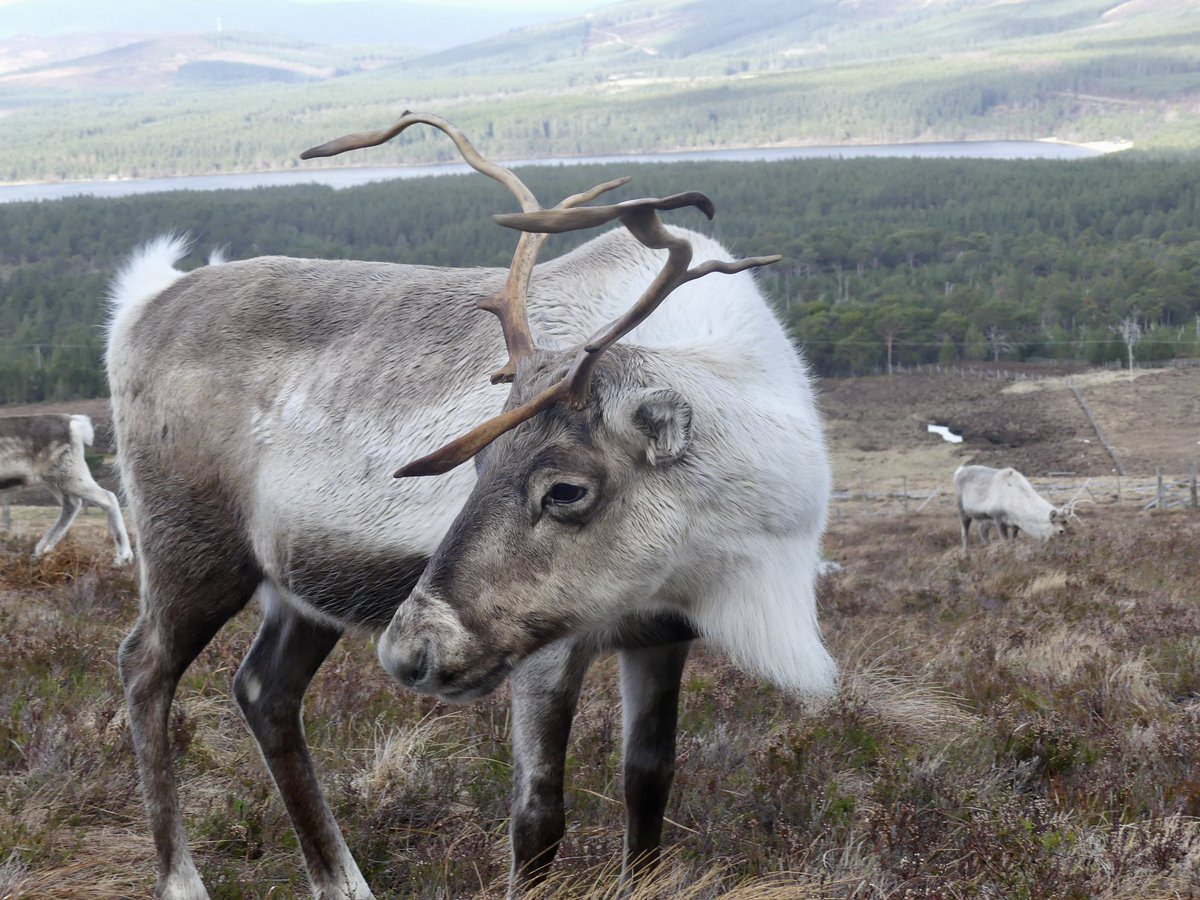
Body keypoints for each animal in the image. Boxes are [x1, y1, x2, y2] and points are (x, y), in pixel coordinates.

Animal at [0, 413, 133, 564]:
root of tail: (73, 422)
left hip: (69, 474)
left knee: (107, 497)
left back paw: (124, 557)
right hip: (55, 479)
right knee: (72, 504)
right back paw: (41, 551)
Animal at [107, 112, 835, 900]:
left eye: (566, 489)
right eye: (478, 463)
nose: (409, 650)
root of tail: (142, 306)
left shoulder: (663, 636)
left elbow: (650, 781)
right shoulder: (548, 644)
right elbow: (538, 816)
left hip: (302, 588)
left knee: (264, 691)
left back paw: (343, 882)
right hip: (191, 550)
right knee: (144, 667)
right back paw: (183, 880)